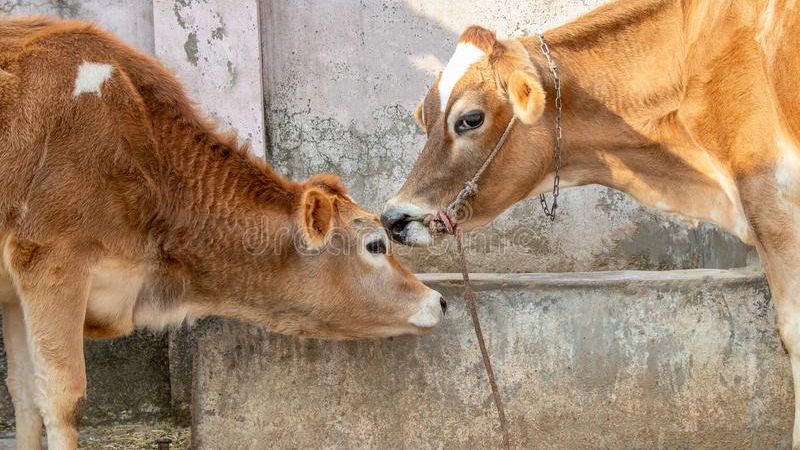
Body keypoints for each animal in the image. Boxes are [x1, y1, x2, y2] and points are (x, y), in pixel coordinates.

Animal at [0, 17, 446, 450]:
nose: (439, 300)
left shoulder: (15, 291)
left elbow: (24, 394)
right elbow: (62, 398)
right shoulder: (51, 258)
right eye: (375, 244)